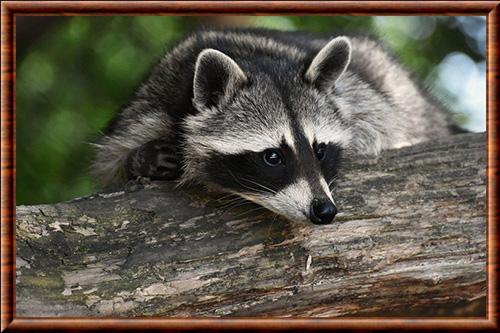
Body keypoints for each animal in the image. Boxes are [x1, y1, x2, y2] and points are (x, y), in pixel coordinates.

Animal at [94, 28, 458, 224]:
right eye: (272, 157)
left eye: (320, 150)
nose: (324, 211)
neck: (251, 58)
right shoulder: (149, 103)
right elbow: (112, 159)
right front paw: (142, 159)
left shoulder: (364, 100)